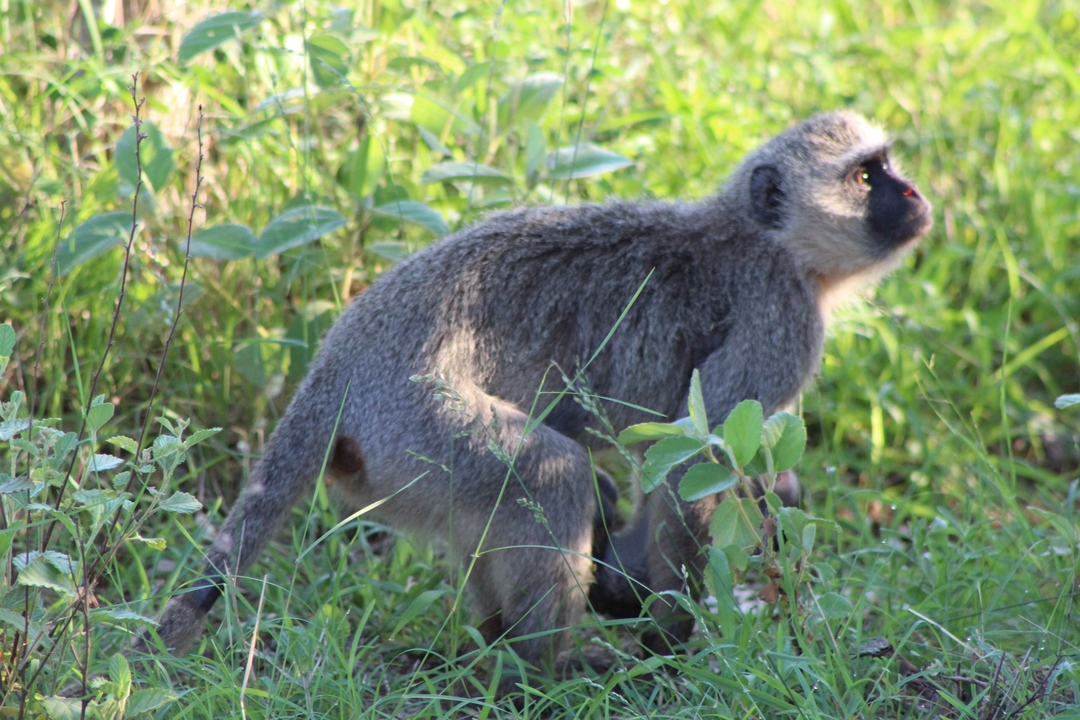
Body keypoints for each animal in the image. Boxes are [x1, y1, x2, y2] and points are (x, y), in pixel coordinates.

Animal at [138, 111, 931, 683]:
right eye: (866, 174)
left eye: (888, 167)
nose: (916, 195)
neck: (774, 243)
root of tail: (341, 360)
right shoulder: (780, 319)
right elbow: (692, 473)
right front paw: (672, 641)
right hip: (414, 426)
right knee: (553, 475)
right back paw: (541, 670)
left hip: (396, 469)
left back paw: (500, 652)